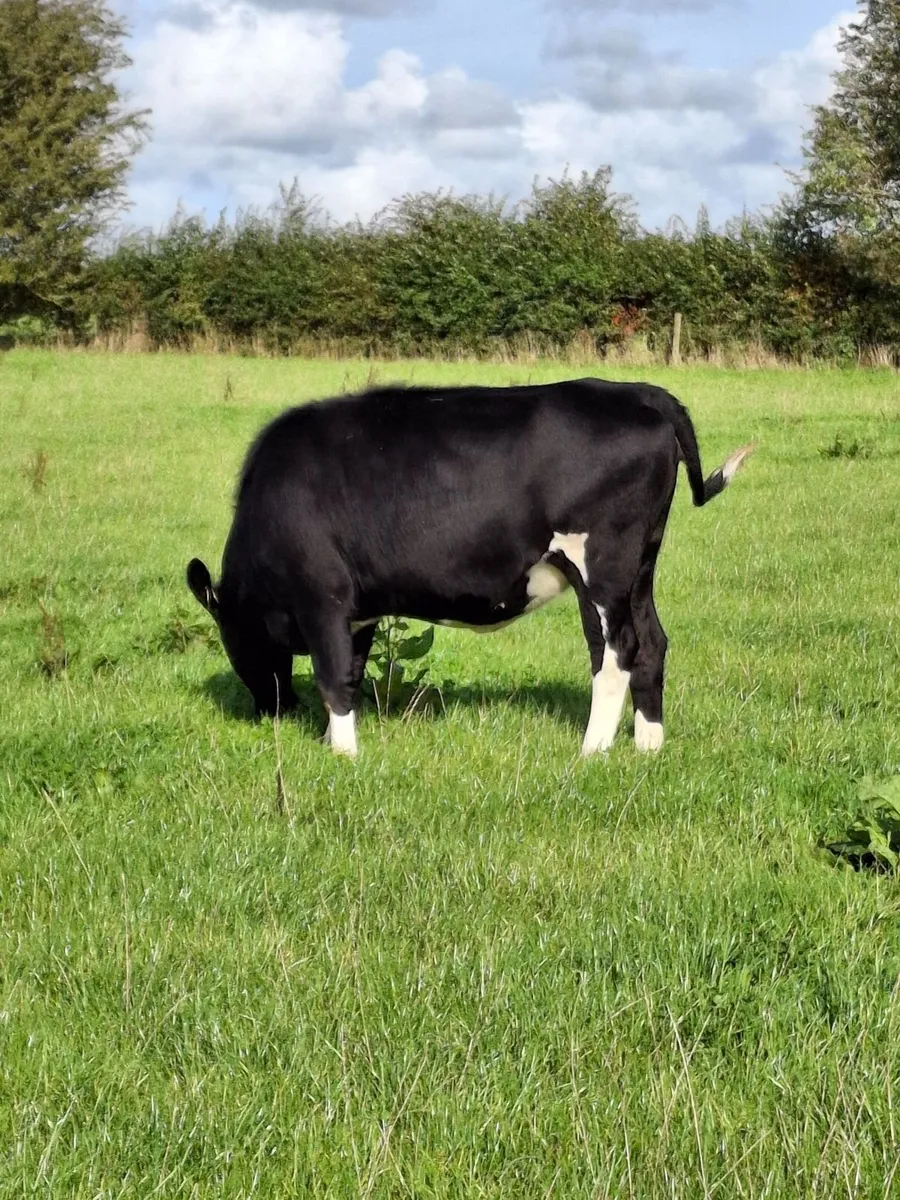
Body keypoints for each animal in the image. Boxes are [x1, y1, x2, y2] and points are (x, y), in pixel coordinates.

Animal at [187, 378, 752, 759]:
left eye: (231, 641)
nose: (273, 710)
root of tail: (640, 393)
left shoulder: (321, 597)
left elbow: (332, 677)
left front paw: (343, 754)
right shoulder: (359, 610)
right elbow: (351, 670)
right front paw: (332, 738)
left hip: (601, 566)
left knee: (617, 650)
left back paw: (592, 749)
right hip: (640, 566)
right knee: (652, 642)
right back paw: (647, 745)